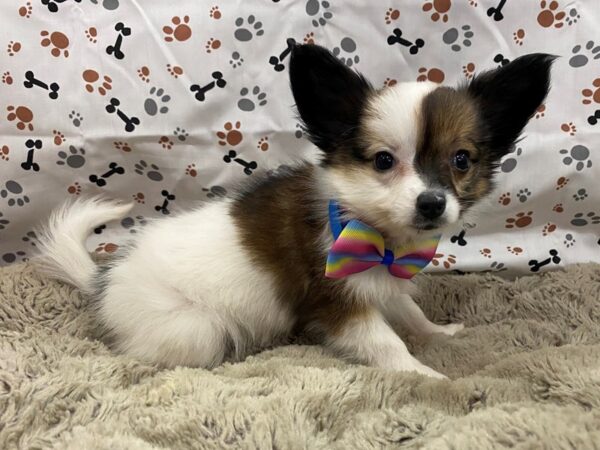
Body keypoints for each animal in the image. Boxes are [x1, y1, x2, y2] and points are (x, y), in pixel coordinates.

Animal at [36, 44, 552, 376]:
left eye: (461, 160)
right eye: (384, 161)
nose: (432, 202)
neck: (370, 229)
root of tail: (104, 280)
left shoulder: (380, 283)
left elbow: (408, 312)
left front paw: (439, 334)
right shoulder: (337, 303)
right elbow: (384, 343)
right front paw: (424, 375)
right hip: (195, 330)